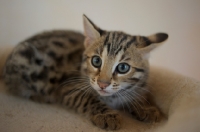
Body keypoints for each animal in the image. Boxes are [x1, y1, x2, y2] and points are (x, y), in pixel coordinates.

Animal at [2, 14, 169, 130]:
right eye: (96, 61)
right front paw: (107, 114)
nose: (102, 84)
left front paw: (146, 107)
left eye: (123, 68)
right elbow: (88, 99)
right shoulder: (68, 87)